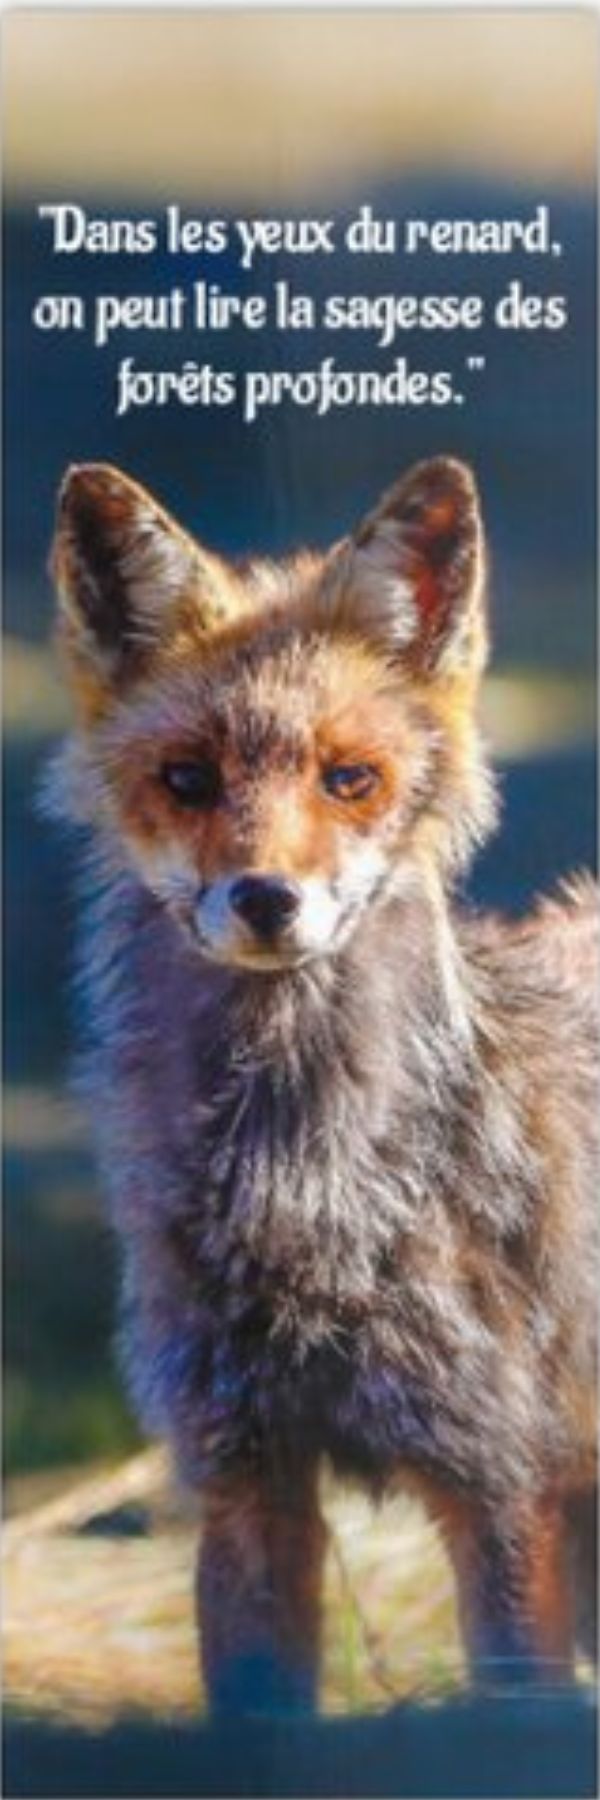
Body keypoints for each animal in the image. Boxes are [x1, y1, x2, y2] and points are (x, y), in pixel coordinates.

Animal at [47, 454, 597, 1715]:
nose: (265, 898)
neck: (304, 1198)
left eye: (352, 778)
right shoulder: (246, 1475)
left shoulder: (501, 1483)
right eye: (187, 779)